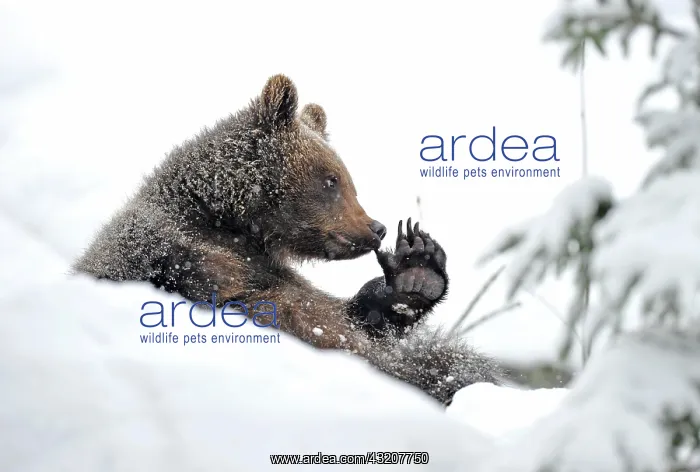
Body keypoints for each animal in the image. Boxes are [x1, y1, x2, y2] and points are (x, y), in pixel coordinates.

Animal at [73, 74, 502, 405]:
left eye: (347, 180)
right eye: (332, 180)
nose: (376, 227)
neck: (233, 226)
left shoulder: (280, 274)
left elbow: (355, 320)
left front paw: (417, 269)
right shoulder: (154, 243)